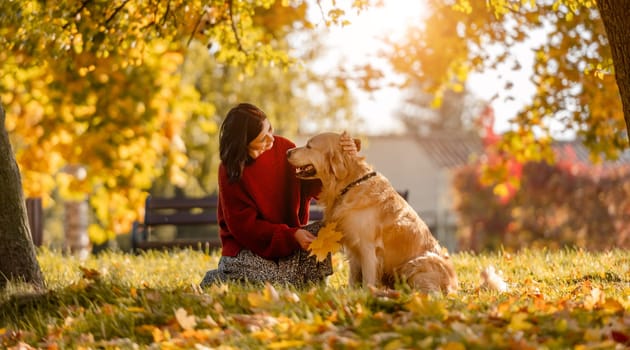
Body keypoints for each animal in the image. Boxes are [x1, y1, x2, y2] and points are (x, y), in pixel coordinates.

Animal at [288, 131, 460, 292]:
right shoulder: (353, 248)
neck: (350, 184)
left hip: (415, 264)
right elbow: (353, 278)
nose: (288, 151)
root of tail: (453, 285)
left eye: (309, 146)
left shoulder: (368, 247)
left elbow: (368, 279)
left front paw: (366, 294)